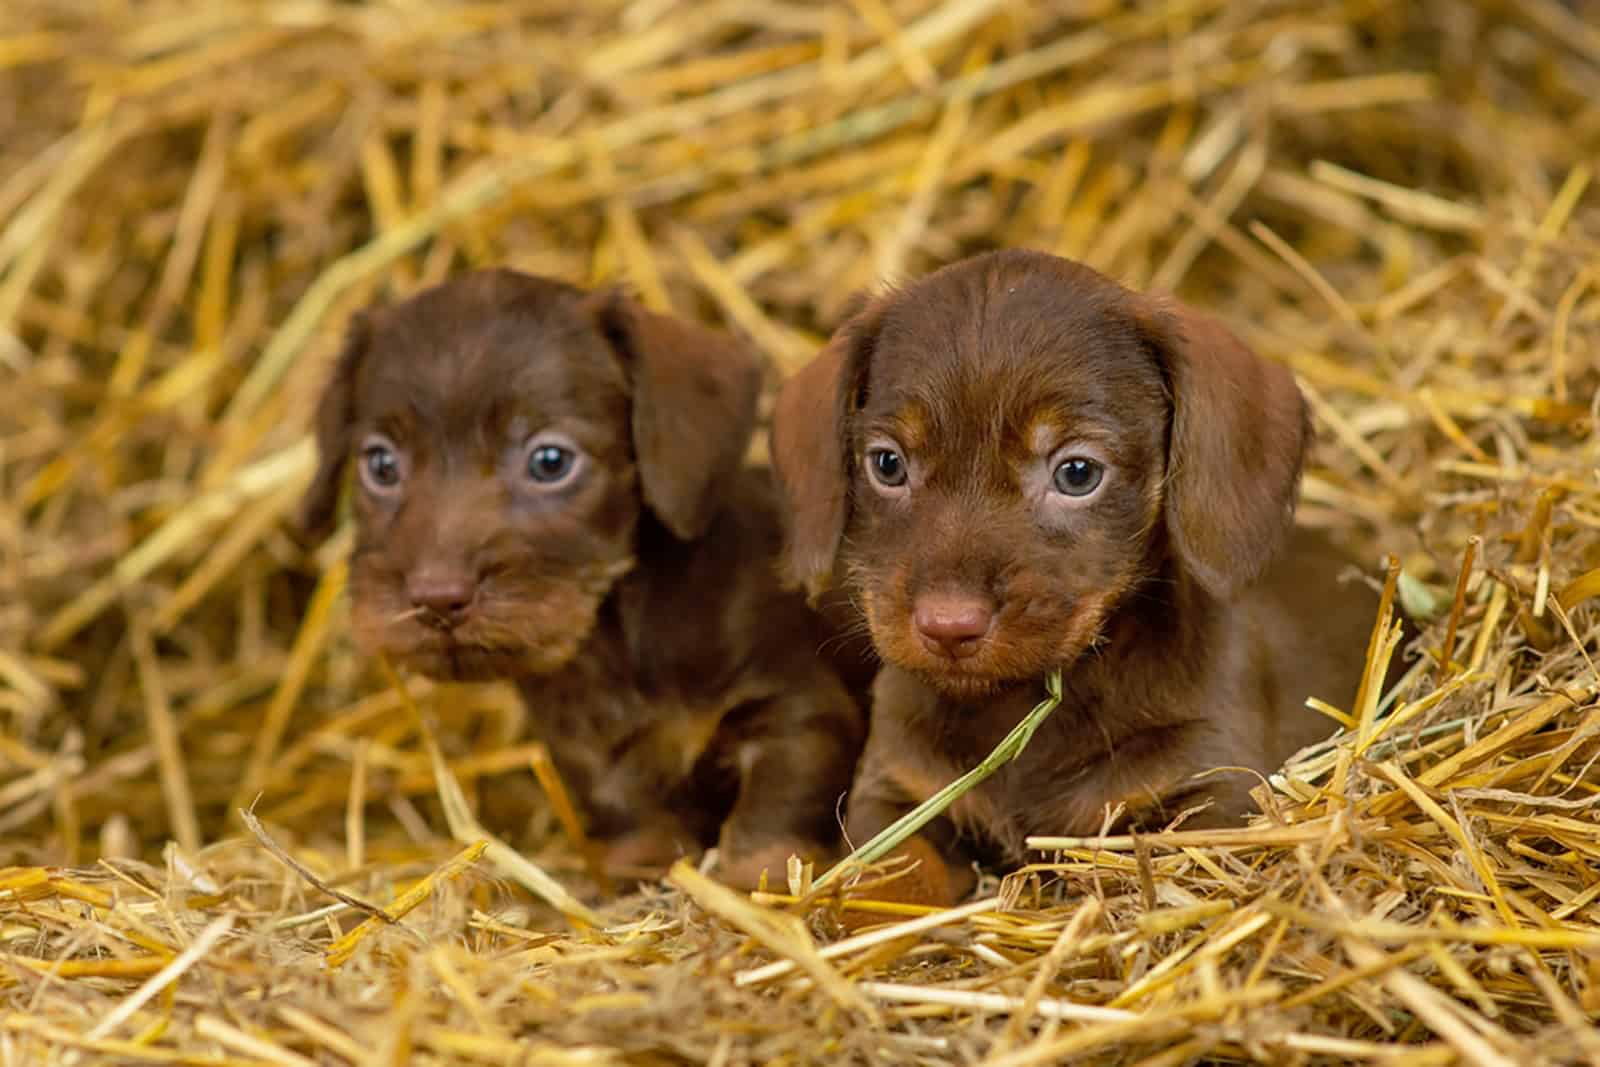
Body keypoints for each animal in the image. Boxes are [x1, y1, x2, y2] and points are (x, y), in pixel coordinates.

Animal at [305, 271, 870, 889]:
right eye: (381, 464)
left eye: (550, 460)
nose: (436, 599)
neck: (619, 633)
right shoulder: (589, 751)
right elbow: (628, 815)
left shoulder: (795, 710)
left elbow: (772, 813)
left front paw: (754, 882)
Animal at [768, 252, 1382, 908]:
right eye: (887, 464)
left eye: (1078, 472)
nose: (948, 627)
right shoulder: (896, 796)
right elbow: (894, 874)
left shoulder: (1213, 790)